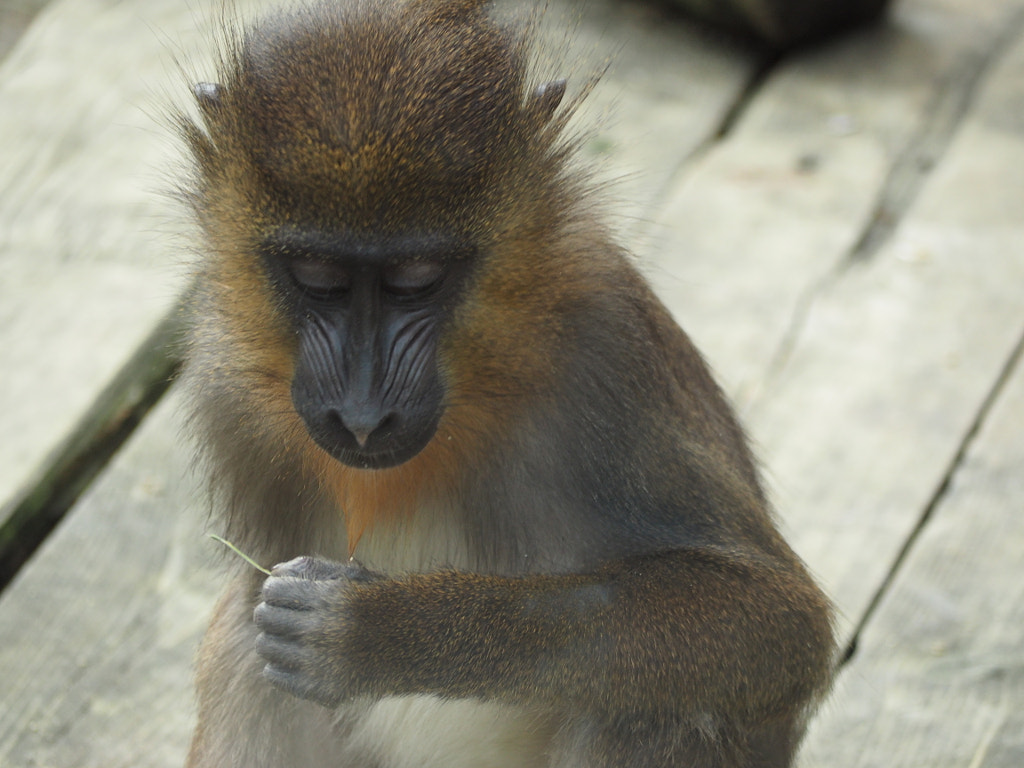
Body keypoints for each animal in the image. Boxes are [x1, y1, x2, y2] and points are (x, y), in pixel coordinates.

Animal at [176, 1, 831, 768]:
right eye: (317, 276)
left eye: (418, 278)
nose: (363, 415)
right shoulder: (222, 384)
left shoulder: (606, 357)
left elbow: (778, 622)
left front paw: (384, 631)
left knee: (653, 709)